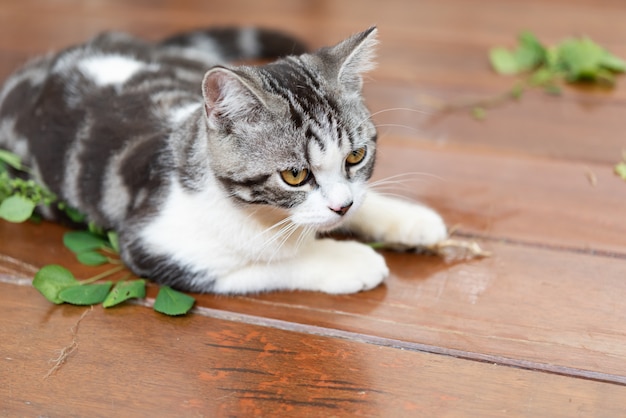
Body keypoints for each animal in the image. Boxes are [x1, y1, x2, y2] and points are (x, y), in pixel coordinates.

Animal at [1, 26, 448, 294]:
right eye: (295, 175)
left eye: (356, 156)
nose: (341, 206)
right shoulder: (157, 244)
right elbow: (271, 263)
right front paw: (346, 259)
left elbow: (359, 201)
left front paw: (406, 218)